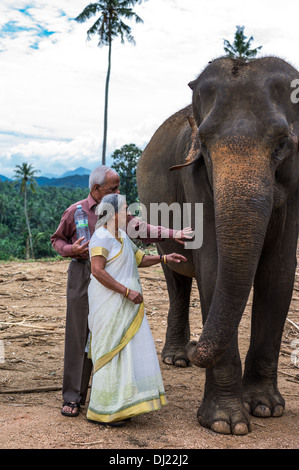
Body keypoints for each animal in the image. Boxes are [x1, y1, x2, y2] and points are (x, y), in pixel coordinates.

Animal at [137, 57, 299, 436]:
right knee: (177, 278)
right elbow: (212, 266)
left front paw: (266, 408)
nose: (198, 345)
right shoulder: (194, 180)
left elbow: (280, 274)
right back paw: (177, 358)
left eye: (283, 144)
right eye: (204, 146)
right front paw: (226, 424)